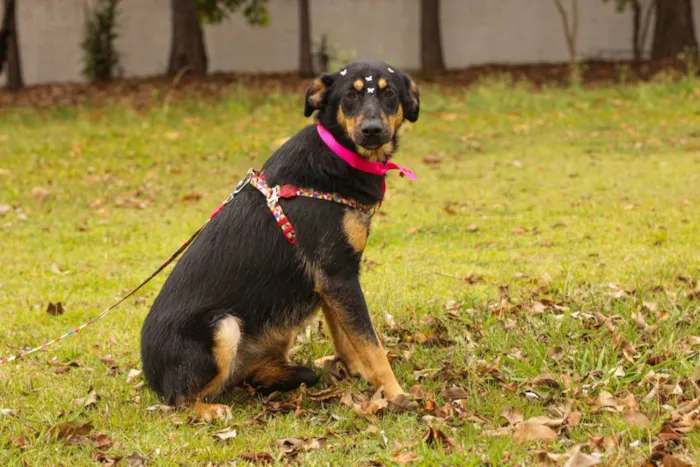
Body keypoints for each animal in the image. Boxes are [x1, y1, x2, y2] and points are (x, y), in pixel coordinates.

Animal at [139, 60, 418, 422]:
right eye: (350, 96)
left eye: (389, 94)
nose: (372, 130)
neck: (338, 154)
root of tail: (150, 375)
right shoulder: (338, 277)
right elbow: (372, 345)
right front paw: (395, 393)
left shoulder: (332, 282)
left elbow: (346, 336)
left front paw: (356, 371)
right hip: (223, 327)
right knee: (178, 401)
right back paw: (210, 409)